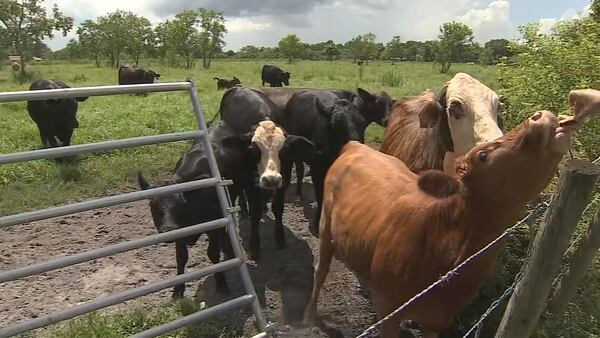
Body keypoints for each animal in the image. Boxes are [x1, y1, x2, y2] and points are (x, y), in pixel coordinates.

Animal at [304, 90, 600, 338]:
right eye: (482, 155)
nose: (540, 117)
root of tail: (356, 146)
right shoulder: (388, 310)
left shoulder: (438, 321)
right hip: (326, 229)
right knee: (320, 271)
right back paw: (313, 315)